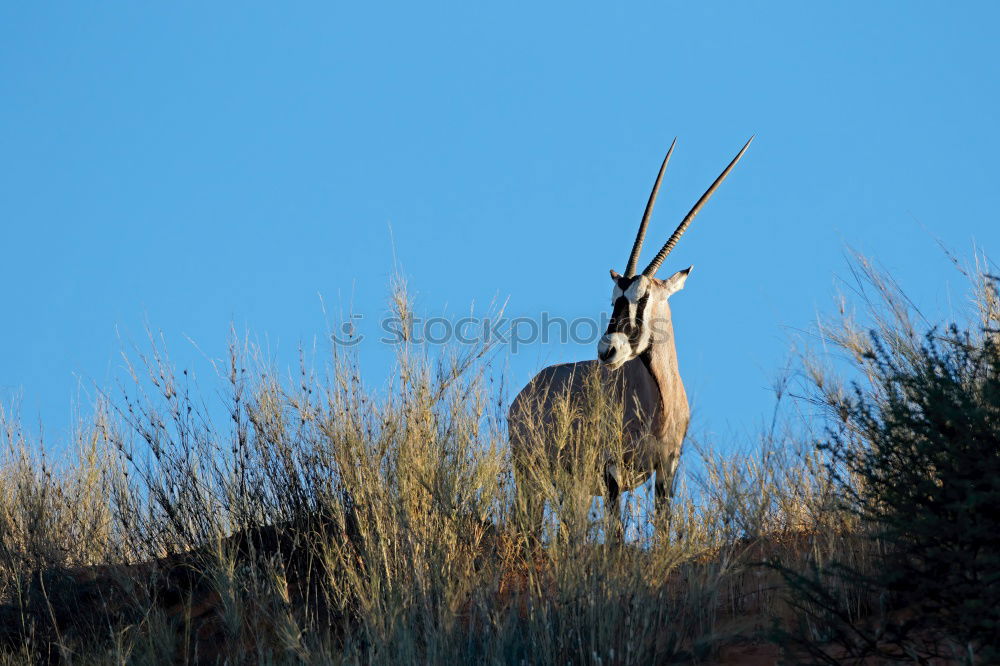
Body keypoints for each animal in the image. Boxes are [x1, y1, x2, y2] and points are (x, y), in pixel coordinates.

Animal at [508, 137, 752, 536]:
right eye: (614, 299)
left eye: (644, 297)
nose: (608, 350)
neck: (658, 399)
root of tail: (524, 395)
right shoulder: (611, 472)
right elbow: (615, 536)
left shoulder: (667, 468)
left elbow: (663, 527)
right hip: (531, 477)